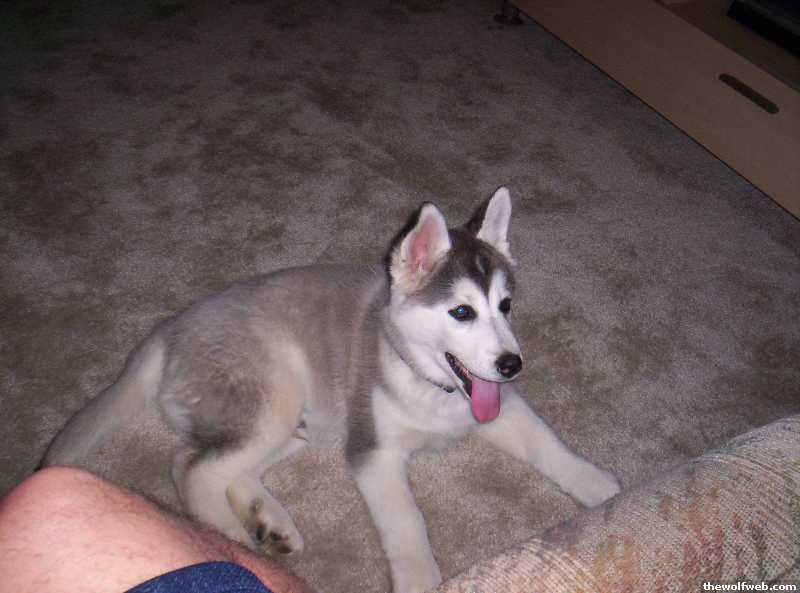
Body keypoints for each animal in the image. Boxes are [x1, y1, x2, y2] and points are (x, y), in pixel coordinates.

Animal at [43, 187, 620, 593]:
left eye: (505, 306)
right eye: (461, 312)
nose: (512, 364)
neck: (427, 380)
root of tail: (169, 328)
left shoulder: (494, 404)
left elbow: (547, 443)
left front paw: (600, 487)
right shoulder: (373, 450)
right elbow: (407, 524)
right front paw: (422, 580)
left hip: (292, 420)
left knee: (206, 456)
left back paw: (269, 521)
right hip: (273, 396)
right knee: (192, 468)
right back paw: (230, 539)